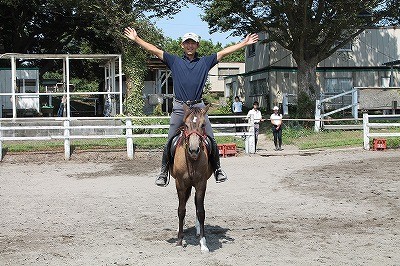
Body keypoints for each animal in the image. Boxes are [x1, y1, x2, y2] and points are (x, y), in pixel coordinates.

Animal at [170, 104, 214, 251]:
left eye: (203, 124)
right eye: (186, 125)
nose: (194, 150)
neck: (191, 160)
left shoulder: (201, 184)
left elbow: (201, 211)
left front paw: (203, 243)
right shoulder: (180, 184)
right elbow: (181, 210)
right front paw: (179, 240)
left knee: (195, 203)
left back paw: (198, 230)